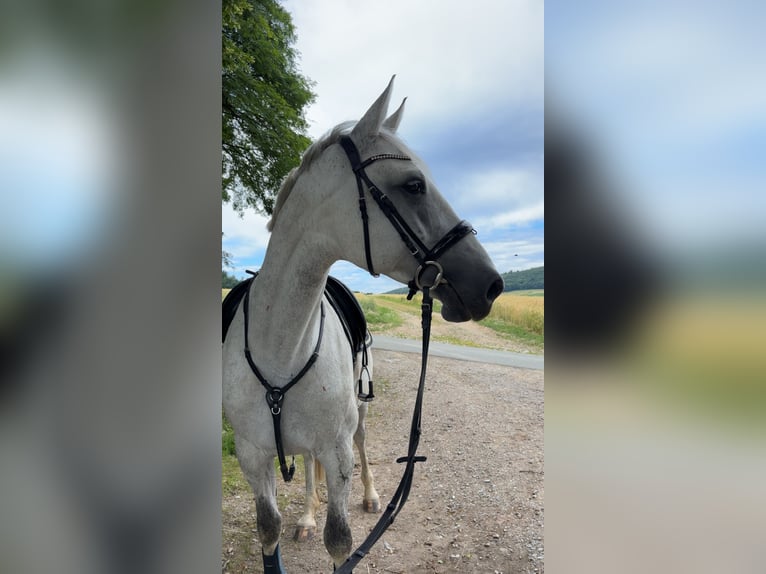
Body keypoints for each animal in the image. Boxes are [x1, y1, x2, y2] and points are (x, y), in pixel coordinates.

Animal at [222, 76, 504, 573]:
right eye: (413, 185)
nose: (490, 285)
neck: (281, 345)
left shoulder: (337, 452)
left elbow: (340, 541)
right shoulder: (253, 458)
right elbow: (269, 532)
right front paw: (302, 520)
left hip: (359, 415)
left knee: (364, 444)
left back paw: (372, 497)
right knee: (309, 473)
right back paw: (308, 515)